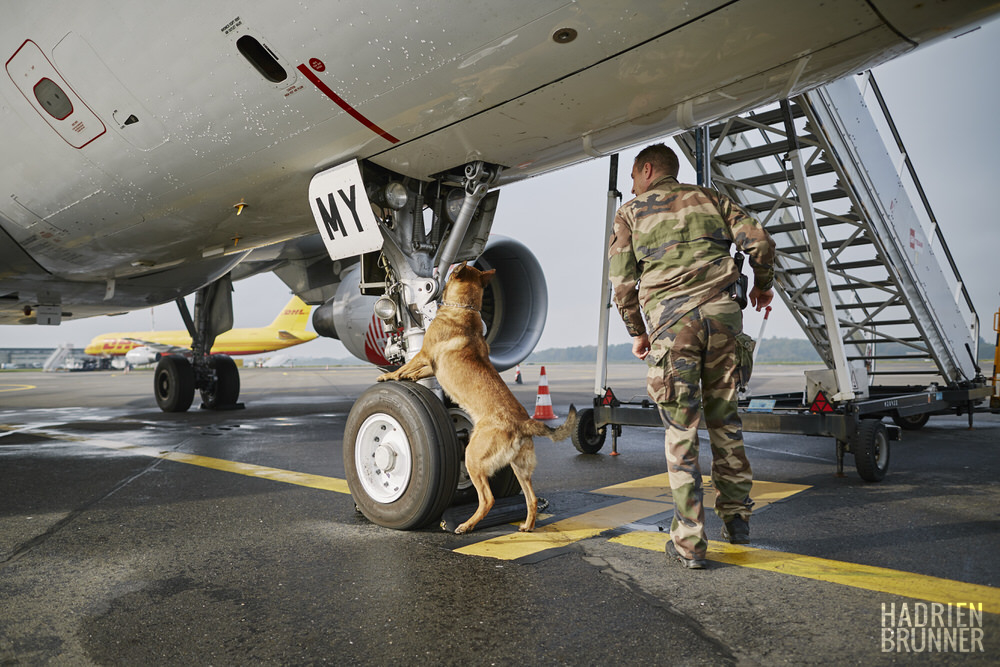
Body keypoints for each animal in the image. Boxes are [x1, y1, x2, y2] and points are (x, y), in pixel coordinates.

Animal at [376, 264, 580, 536]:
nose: (438, 271)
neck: (463, 308)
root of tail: (523, 423)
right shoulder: (431, 365)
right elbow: (417, 372)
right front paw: (406, 375)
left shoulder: (424, 354)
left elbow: (406, 367)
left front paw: (390, 375)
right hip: (519, 468)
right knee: (532, 498)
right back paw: (527, 525)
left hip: (473, 458)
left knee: (488, 499)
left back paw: (466, 525)